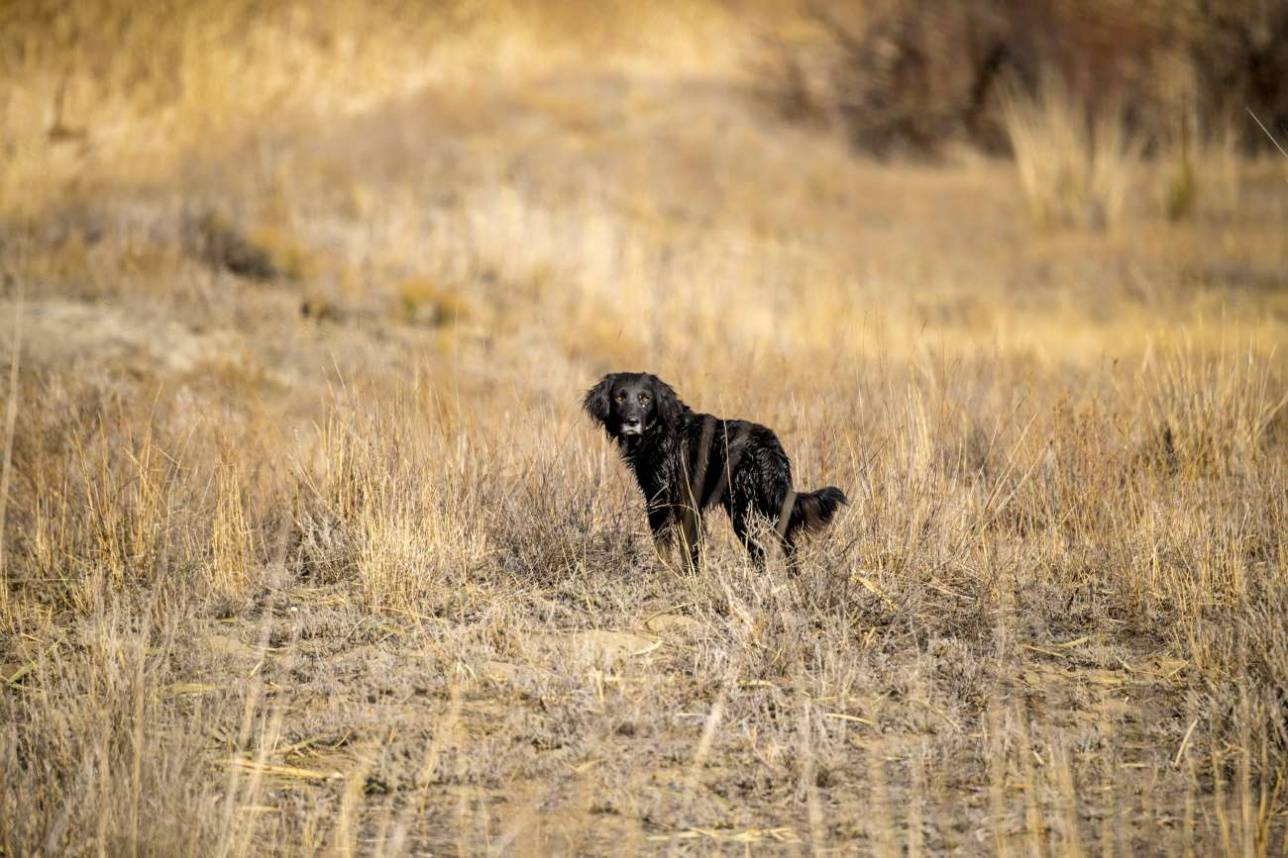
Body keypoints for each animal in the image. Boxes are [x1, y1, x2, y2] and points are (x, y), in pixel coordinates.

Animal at [584, 373, 844, 566]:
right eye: (619, 397)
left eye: (645, 398)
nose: (631, 421)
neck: (660, 431)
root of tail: (767, 443)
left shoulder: (667, 504)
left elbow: (675, 551)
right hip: (763, 508)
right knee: (781, 548)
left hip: (747, 511)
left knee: (763, 551)